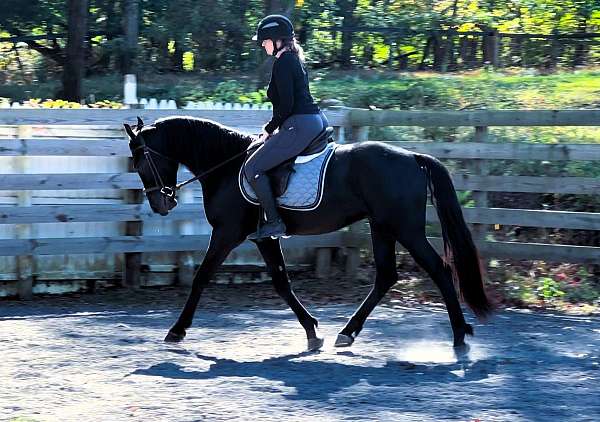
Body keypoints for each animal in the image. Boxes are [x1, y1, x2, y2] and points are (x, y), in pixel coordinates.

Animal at [123, 115, 492, 350]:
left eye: (141, 164)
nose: (161, 204)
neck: (226, 165)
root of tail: (413, 157)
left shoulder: (227, 234)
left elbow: (201, 277)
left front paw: (177, 330)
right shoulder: (265, 237)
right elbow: (282, 283)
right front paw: (312, 331)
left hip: (405, 228)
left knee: (439, 269)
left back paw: (460, 334)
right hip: (382, 227)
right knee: (386, 276)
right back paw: (348, 332)